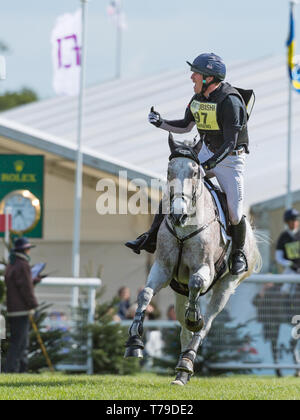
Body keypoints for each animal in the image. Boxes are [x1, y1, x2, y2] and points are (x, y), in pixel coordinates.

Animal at [123, 134, 260, 384]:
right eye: (169, 170)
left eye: (195, 172)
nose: (178, 215)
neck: (185, 227)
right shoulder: (163, 269)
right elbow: (145, 294)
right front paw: (134, 343)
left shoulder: (204, 269)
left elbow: (197, 287)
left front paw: (195, 318)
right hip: (179, 291)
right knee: (184, 328)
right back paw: (181, 371)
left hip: (226, 287)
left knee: (204, 325)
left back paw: (187, 362)